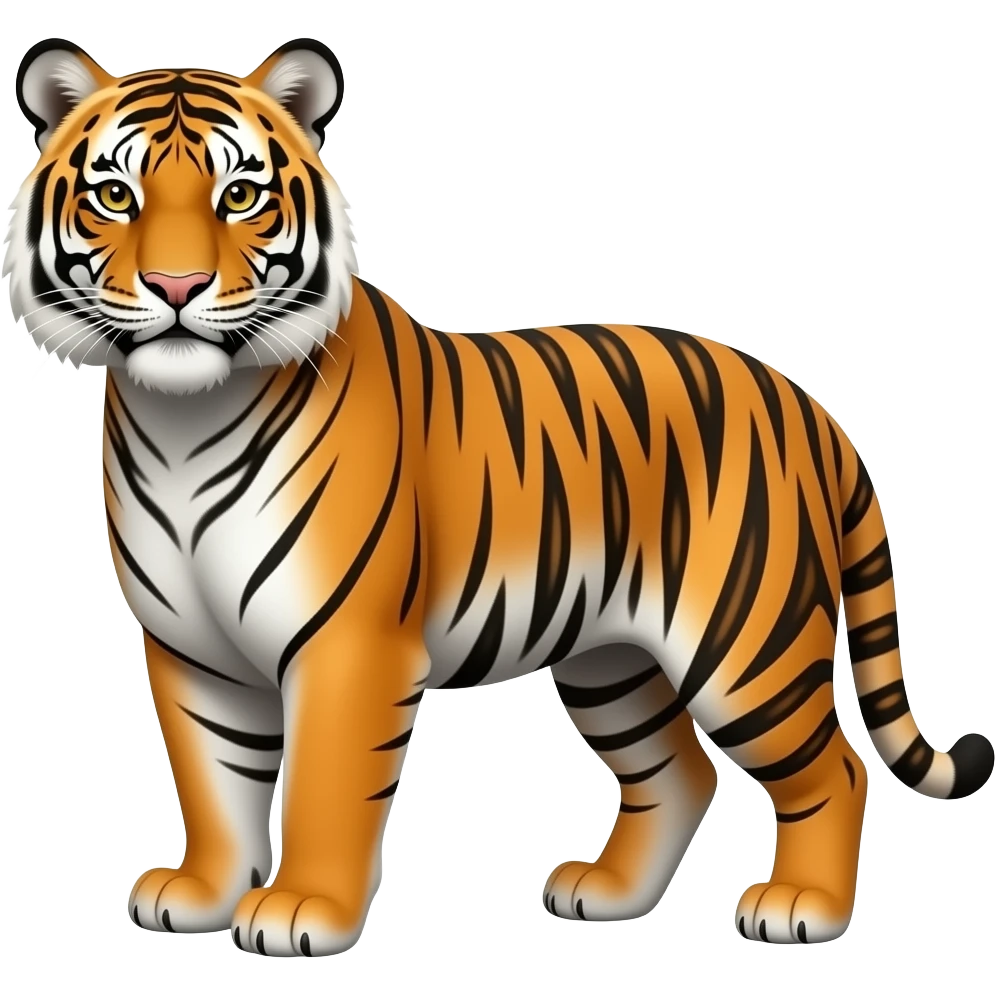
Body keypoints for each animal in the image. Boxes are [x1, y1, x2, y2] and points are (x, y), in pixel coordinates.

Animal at [4, 35, 993, 959]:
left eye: (240, 196)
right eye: (115, 196)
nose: (177, 287)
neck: (184, 417)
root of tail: (806, 403)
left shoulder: (348, 644)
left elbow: (324, 784)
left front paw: (301, 910)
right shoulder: (190, 649)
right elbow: (213, 779)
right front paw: (204, 891)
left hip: (747, 643)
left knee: (834, 770)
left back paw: (801, 908)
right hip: (610, 658)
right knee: (680, 773)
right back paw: (608, 894)